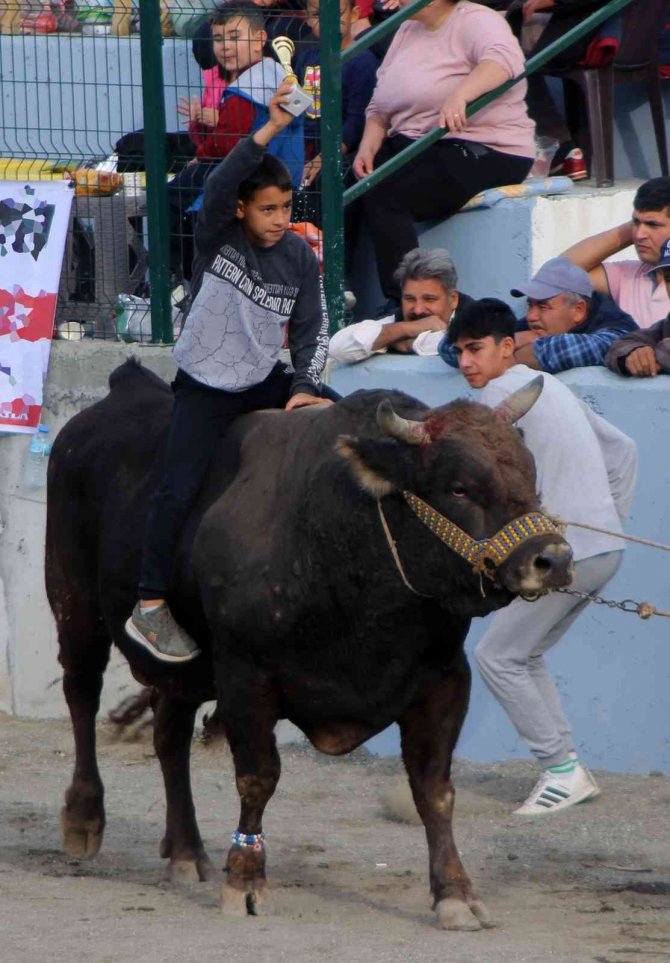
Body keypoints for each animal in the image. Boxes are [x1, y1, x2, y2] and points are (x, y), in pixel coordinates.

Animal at [46, 358, 572, 932]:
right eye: (458, 487)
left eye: (531, 473)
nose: (553, 558)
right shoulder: (246, 676)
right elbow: (258, 777)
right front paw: (246, 880)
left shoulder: (445, 678)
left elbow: (434, 788)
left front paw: (455, 893)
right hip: (74, 606)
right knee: (81, 696)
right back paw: (84, 816)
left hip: (181, 668)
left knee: (169, 738)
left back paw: (186, 852)